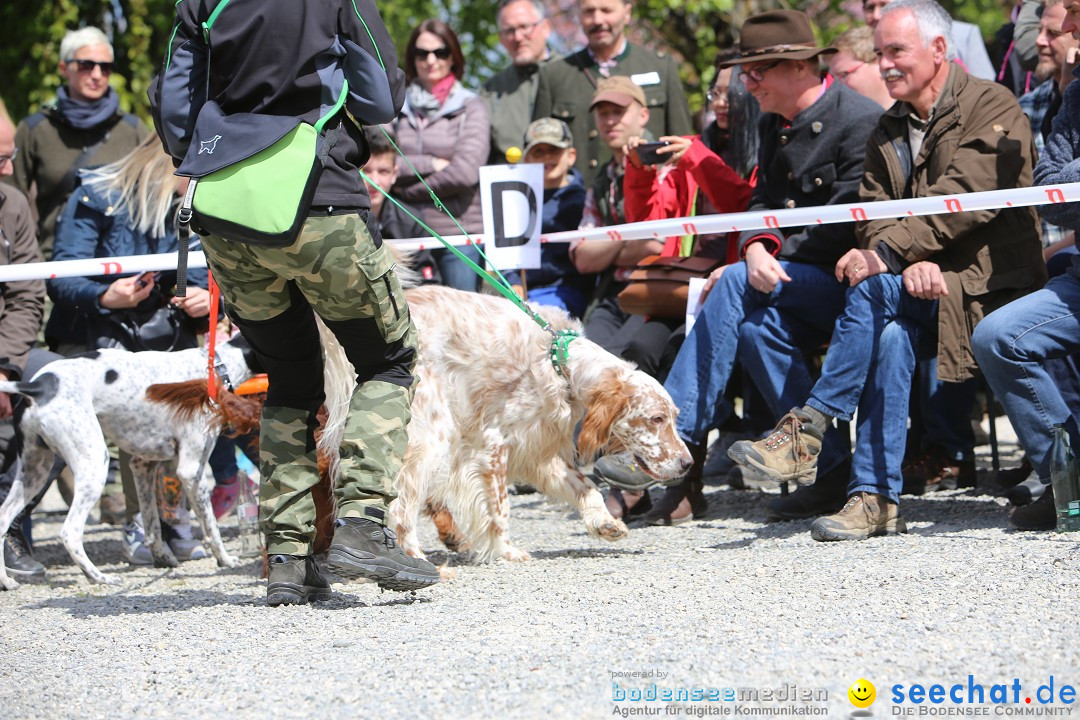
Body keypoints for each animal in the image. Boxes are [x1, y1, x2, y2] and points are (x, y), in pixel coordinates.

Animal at [0, 334, 259, 587]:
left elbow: (152, 524)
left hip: (35, 472)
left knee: (3, 520)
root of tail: (37, 385)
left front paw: (162, 558)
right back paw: (98, 577)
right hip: (94, 464)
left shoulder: (143, 465)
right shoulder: (190, 470)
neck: (216, 368)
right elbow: (211, 526)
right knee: (70, 532)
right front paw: (225, 559)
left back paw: (7, 582)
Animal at [315, 287, 695, 569]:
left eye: (674, 416)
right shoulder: (493, 445)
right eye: (656, 419)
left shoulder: (539, 451)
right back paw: (416, 559)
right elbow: (500, 509)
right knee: (400, 505)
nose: (687, 463)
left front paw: (604, 523)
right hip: (430, 436)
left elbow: (586, 486)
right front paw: (506, 550)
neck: (556, 361)